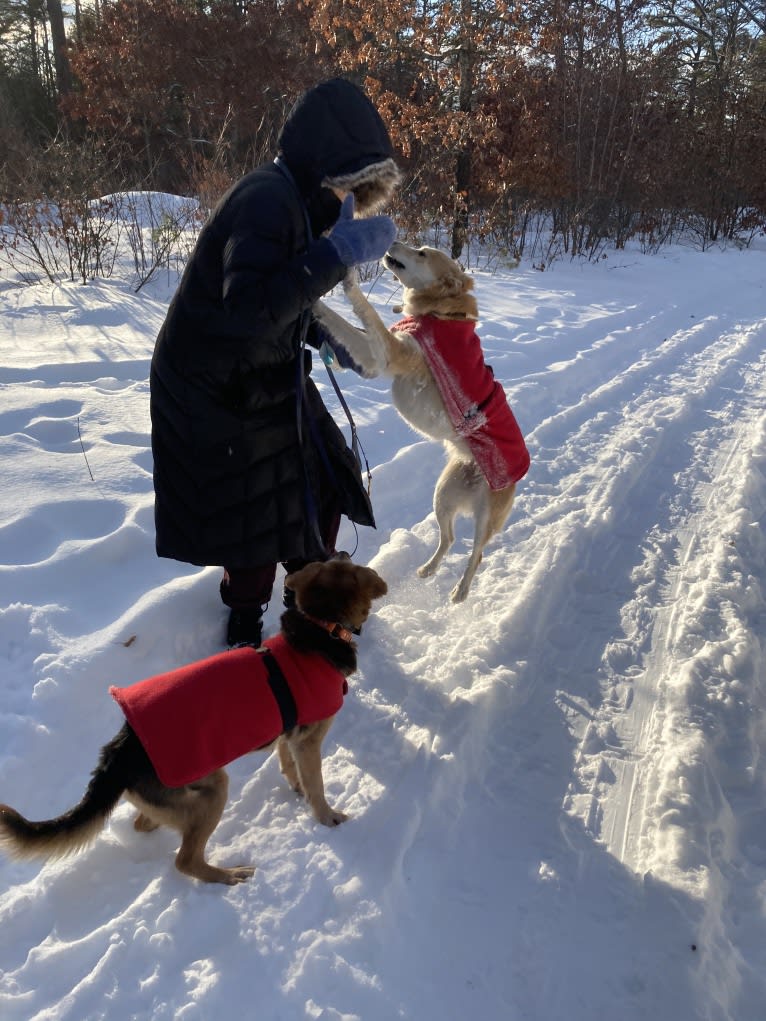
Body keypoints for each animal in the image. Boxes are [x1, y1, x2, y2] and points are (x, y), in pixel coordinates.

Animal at [0, 559, 384, 886]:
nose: (343, 547)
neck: (319, 628)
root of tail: (119, 751)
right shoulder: (308, 741)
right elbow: (316, 786)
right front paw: (327, 816)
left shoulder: (289, 736)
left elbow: (290, 767)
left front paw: (297, 789)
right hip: (215, 790)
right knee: (185, 860)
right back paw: (228, 875)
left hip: (181, 795)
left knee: (145, 822)